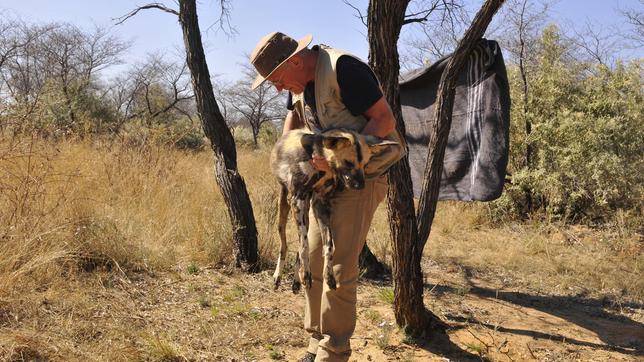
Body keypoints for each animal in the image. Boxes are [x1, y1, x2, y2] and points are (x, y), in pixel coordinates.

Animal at [270, 129, 394, 292]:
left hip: (305, 215)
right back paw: (278, 277)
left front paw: (328, 276)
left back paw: (297, 281)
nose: (361, 186)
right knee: (284, 246)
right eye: (348, 162)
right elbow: (304, 246)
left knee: (299, 246)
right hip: (285, 212)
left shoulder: (320, 203)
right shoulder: (297, 200)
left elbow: (328, 245)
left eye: (365, 164)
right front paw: (307, 274)